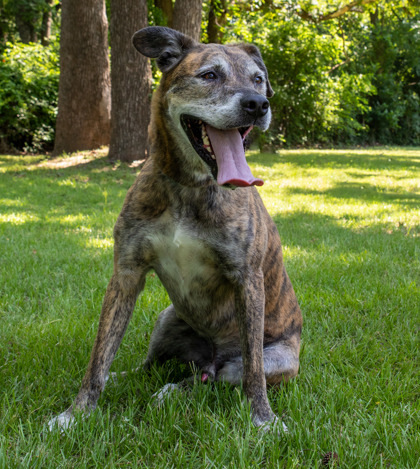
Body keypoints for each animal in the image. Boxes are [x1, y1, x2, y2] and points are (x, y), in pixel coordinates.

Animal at [47, 26, 302, 432]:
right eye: (209, 75)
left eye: (258, 80)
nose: (258, 104)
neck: (189, 187)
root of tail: (210, 356)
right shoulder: (126, 275)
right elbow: (99, 356)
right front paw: (77, 413)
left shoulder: (247, 280)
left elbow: (253, 372)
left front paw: (263, 421)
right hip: (166, 319)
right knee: (152, 367)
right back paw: (136, 381)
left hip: (275, 359)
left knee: (221, 377)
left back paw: (174, 392)